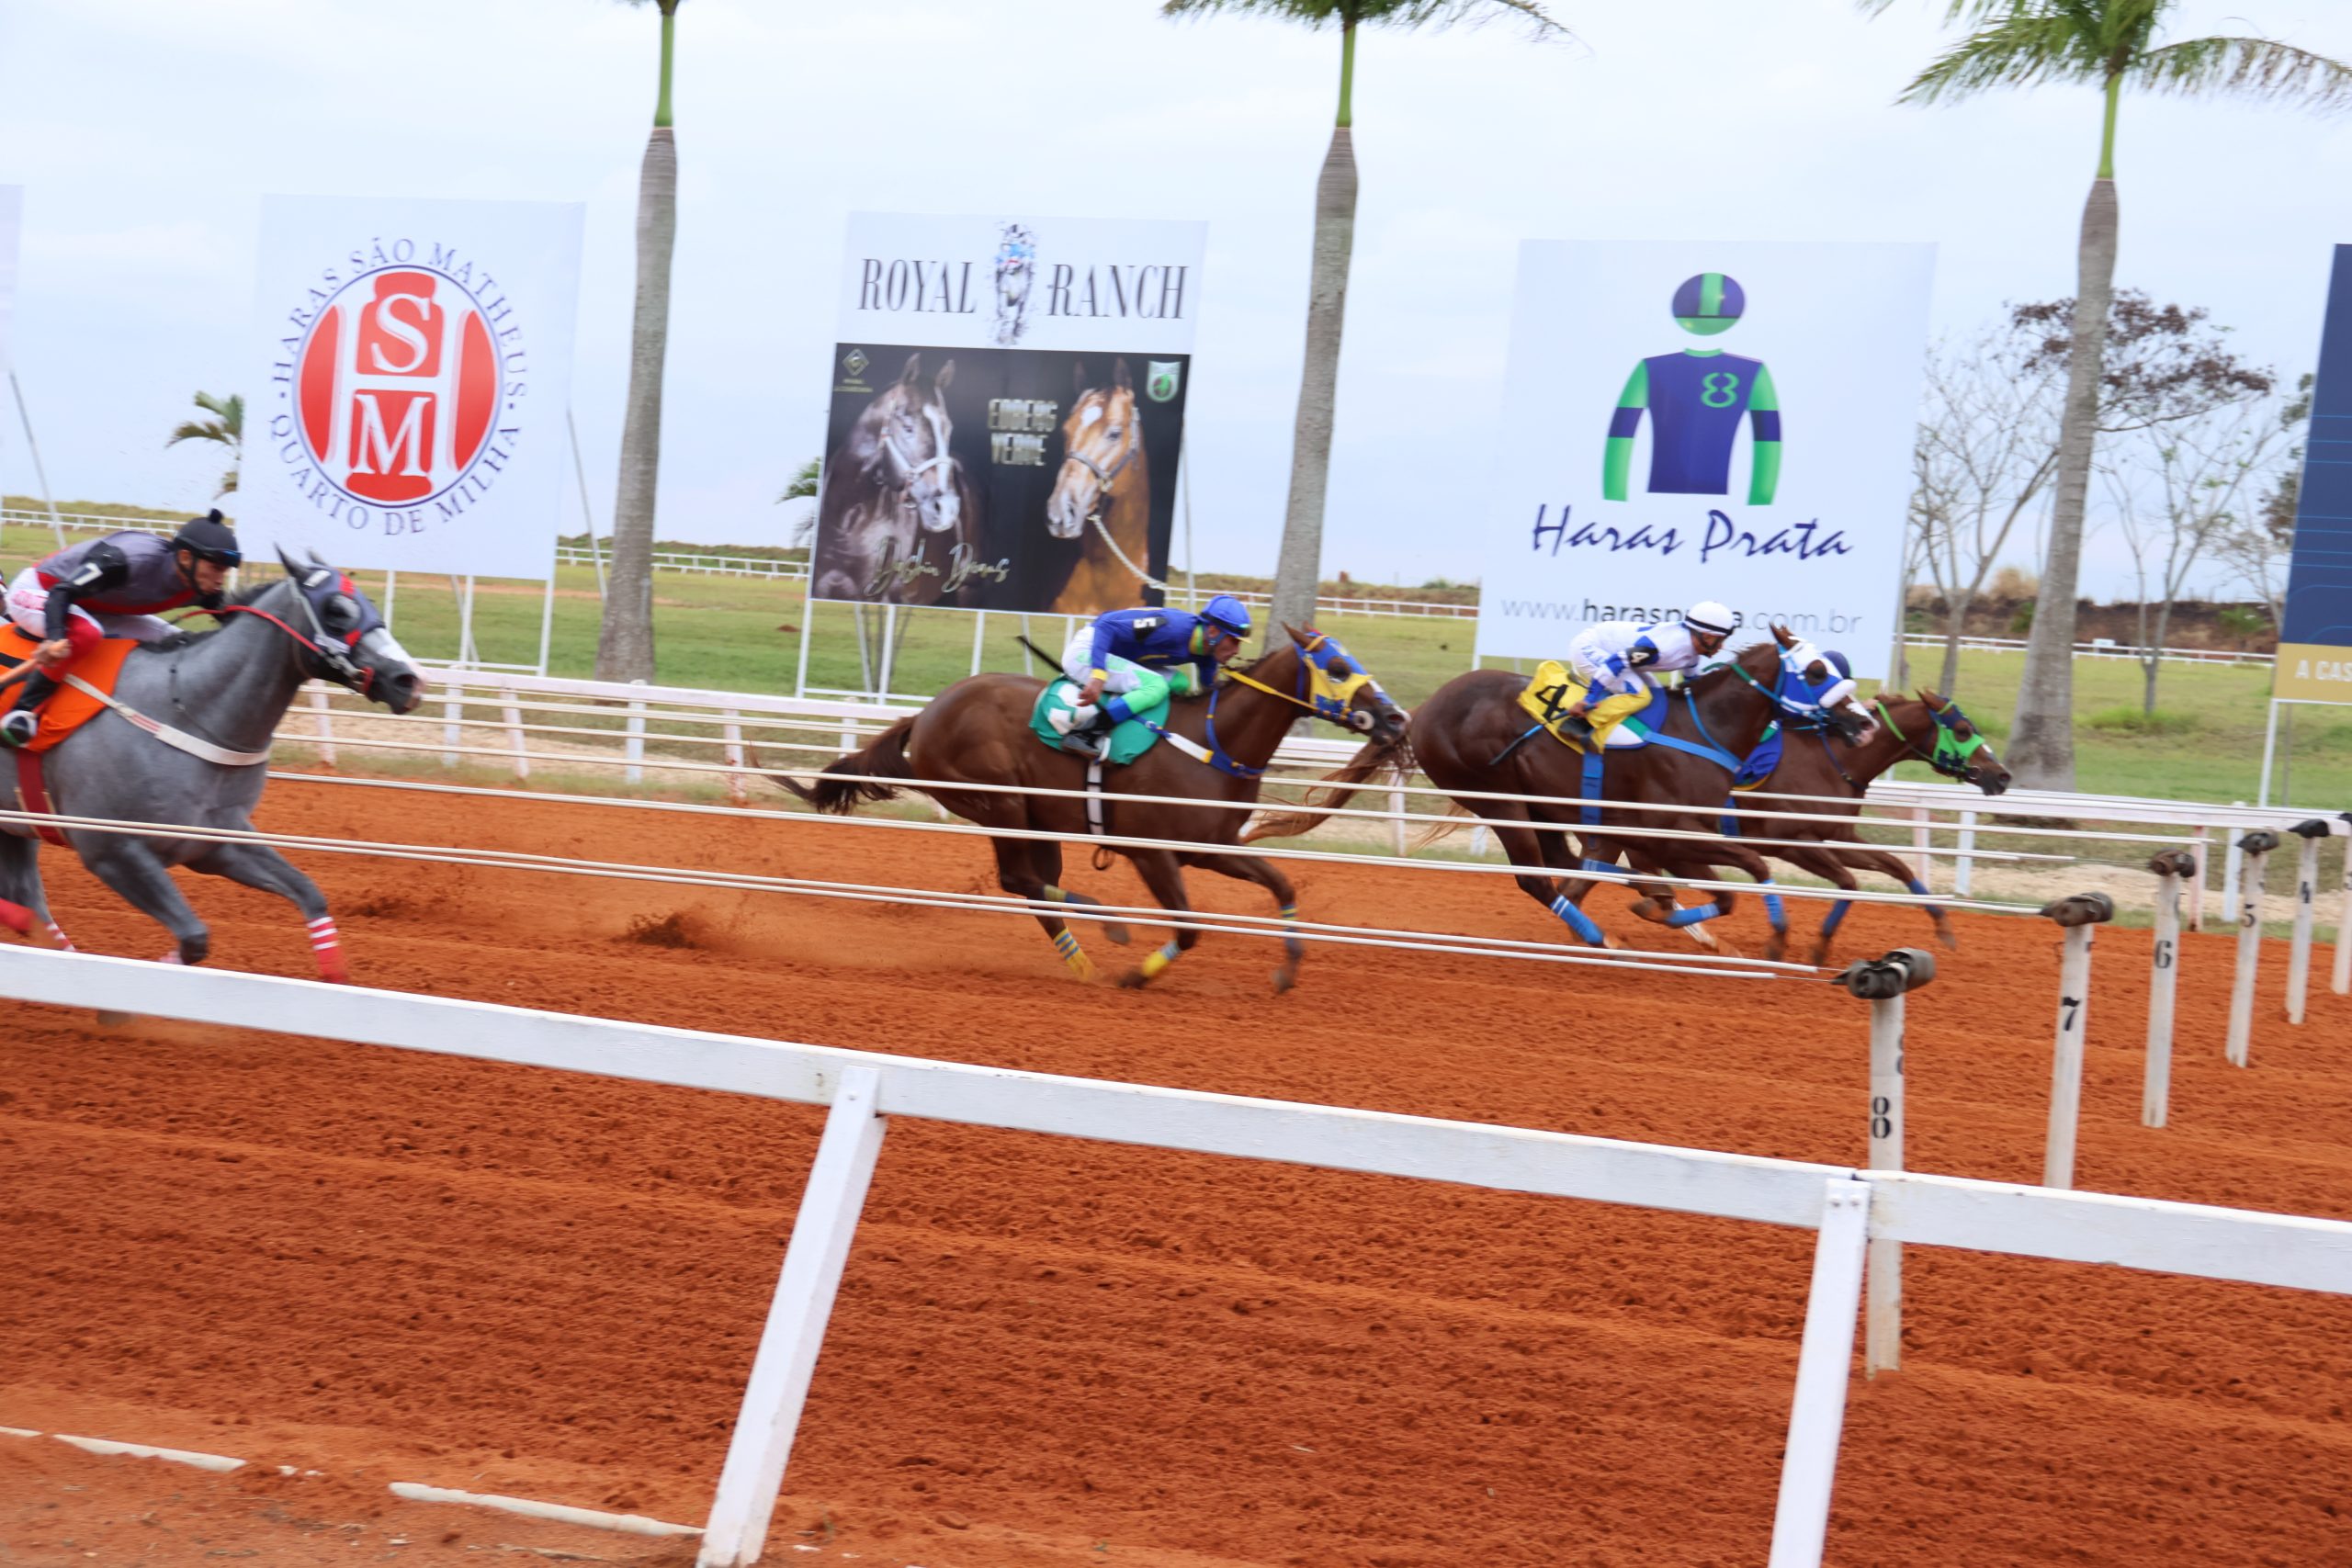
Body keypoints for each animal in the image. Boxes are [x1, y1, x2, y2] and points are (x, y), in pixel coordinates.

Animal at [2, 545, 423, 973]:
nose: (409, 680)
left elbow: (310, 894)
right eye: (336, 609)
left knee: (27, 895)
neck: (183, 711)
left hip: (17, 828)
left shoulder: (217, 843)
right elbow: (194, 938)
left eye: (369, 603)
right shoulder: (111, 850)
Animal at [775, 629, 1392, 987]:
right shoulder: (1151, 852)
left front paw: (1289, 966)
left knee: (1033, 889)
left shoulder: (1209, 847)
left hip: (1037, 818)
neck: (1213, 742)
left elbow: (1280, 883)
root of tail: (925, 714)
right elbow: (1190, 925)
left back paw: (1083, 962)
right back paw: (1107, 927)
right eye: (1338, 669)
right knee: (1017, 879)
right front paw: (1139, 975)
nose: (1392, 719)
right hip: (1000, 801)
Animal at [1241, 629, 1862, 964]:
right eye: (1814, 669)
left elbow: (1706, 883)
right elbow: (1749, 871)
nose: (1861, 722)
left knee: (1564, 870)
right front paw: (1773, 940)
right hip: (1499, 800)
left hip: (1538, 803)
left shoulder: (1653, 833)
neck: (1702, 729)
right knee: (1537, 879)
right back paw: (1599, 936)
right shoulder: (1671, 831)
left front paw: (1686, 924)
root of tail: (1423, 710)